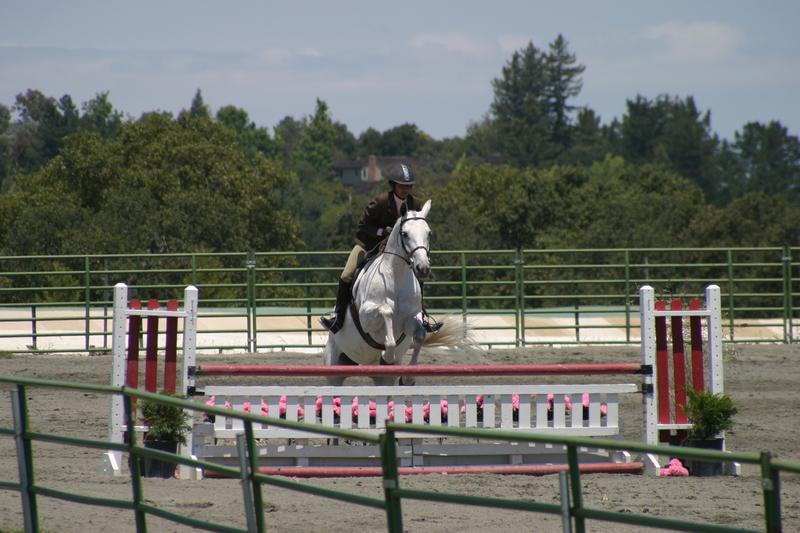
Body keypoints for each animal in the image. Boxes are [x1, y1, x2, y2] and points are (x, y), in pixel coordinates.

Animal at [323, 199, 480, 386]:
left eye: (429, 233)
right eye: (404, 234)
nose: (423, 268)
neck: (396, 277)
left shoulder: (411, 318)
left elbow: (419, 336)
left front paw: (408, 377)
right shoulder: (366, 319)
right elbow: (386, 314)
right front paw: (386, 356)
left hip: (382, 379)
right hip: (334, 366)